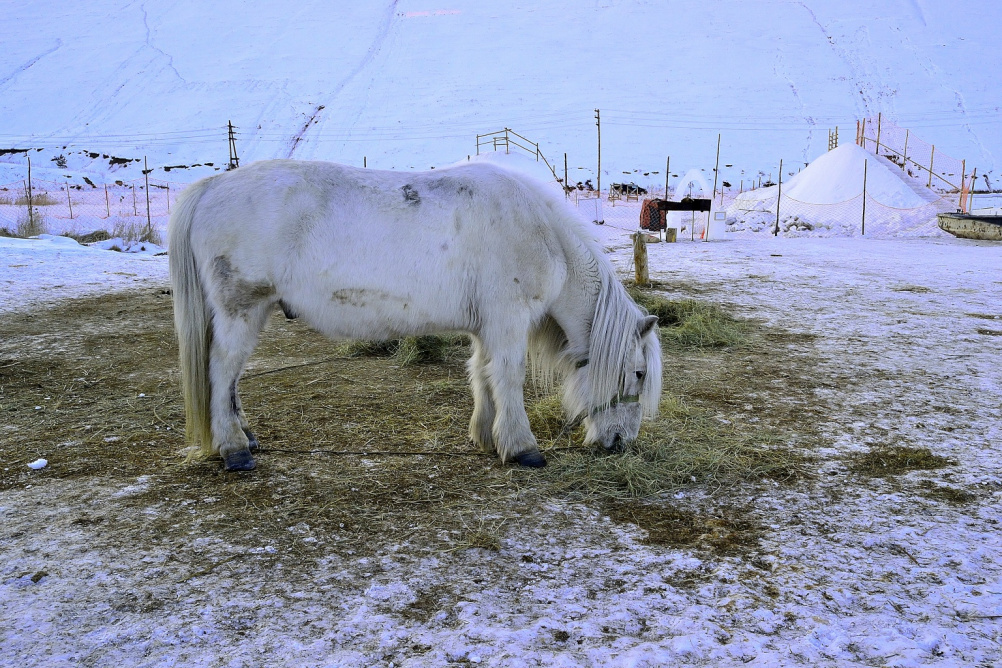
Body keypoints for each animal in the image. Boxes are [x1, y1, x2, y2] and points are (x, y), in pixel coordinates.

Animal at [168, 159, 662, 471]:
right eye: (638, 374)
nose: (621, 444)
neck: (540, 232)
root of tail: (212, 187)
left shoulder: (485, 327)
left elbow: (481, 374)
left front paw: (485, 436)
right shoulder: (507, 321)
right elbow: (507, 377)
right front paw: (522, 448)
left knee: (230, 380)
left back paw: (245, 436)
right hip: (241, 310)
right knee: (221, 372)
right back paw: (235, 449)